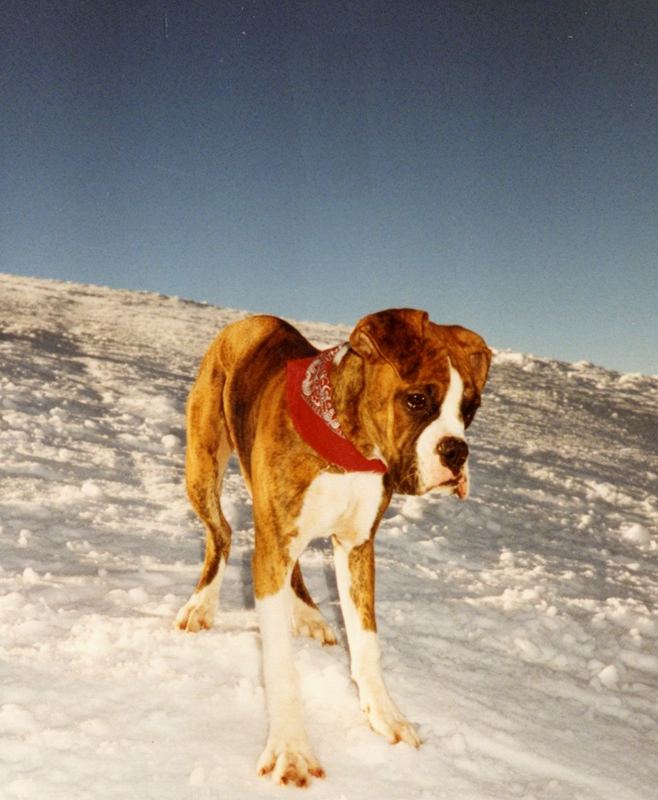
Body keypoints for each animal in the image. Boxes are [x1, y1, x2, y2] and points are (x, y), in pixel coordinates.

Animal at [174, 310, 486, 784]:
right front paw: (291, 749)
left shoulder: (357, 546)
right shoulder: (274, 546)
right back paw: (201, 605)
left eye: (471, 410)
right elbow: (281, 666)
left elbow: (367, 643)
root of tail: (249, 321)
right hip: (203, 470)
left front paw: (386, 716)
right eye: (416, 400)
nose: (456, 452)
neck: (349, 446)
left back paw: (306, 613)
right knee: (221, 534)